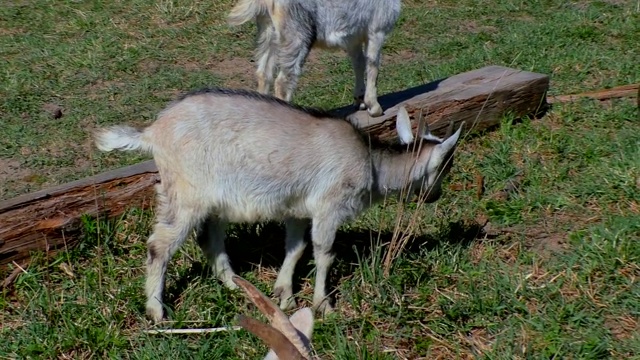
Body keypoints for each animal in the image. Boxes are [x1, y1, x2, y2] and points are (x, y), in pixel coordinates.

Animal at [95, 88, 462, 324]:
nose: (436, 195)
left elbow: (296, 248)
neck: (371, 163)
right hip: (186, 191)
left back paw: (235, 284)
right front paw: (323, 306)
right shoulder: (328, 206)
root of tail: (153, 132)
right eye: (446, 165)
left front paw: (284, 294)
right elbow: (324, 253)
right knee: (160, 246)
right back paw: (158, 312)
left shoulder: (298, 209)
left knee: (209, 237)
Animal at [229, 0, 400, 117]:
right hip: (296, 33)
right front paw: (375, 107)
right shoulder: (377, 28)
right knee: (283, 81)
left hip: (269, 33)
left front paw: (360, 101)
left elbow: (359, 63)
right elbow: (373, 66)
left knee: (264, 74)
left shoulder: (354, 36)